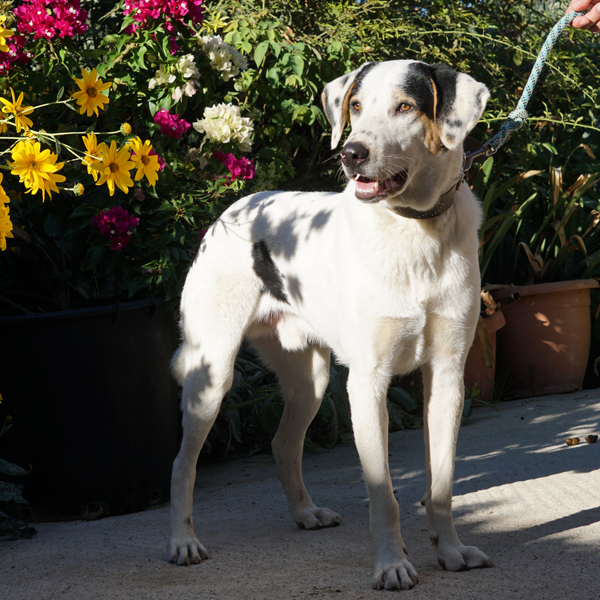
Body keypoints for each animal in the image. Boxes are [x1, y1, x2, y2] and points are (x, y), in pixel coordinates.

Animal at [169, 59, 493, 591]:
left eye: (406, 106)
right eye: (355, 106)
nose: (351, 153)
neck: (414, 230)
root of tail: (233, 211)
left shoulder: (447, 377)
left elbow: (442, 486)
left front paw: (450, 551)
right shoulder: (368, 383)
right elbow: (384, 495)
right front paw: (392, 564)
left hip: (312, 379)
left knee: (282, 444)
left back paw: (305, 513)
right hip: (212, 374)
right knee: (183, 464)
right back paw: (182, 542)